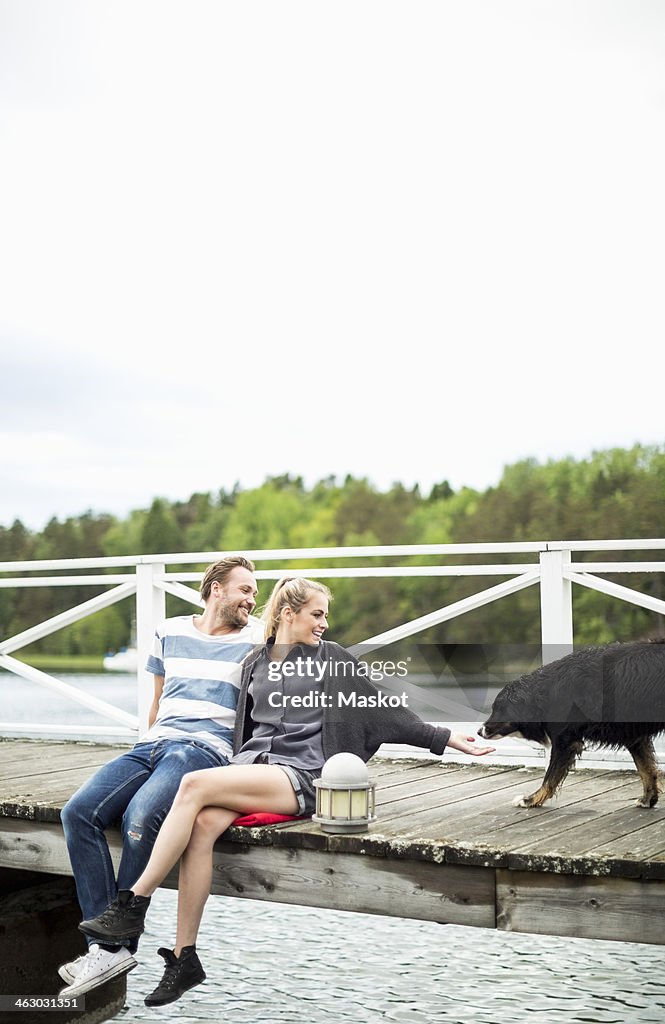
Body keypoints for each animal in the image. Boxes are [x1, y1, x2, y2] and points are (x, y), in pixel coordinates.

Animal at [477, 638, 663, 806]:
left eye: (498, 709)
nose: (479, 731)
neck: (543, 695)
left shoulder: (565, 741)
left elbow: (549, 777)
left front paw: (530, 800)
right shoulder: (635, 737)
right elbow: (646, 769)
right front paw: (648, 799)